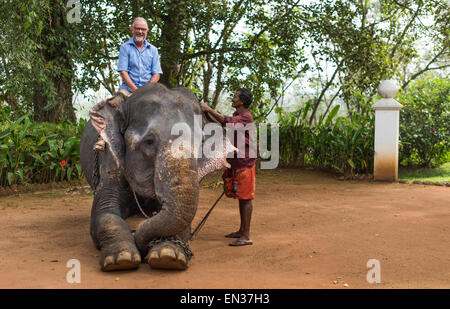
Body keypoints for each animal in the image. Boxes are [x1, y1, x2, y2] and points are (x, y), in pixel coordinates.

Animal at [80, 82, 234, 270]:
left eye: (200, 143)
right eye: (149, 141)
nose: (140, 243)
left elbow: (183, 224)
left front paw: (168, 256)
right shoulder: (110, 157)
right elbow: (105, 211)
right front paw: (121, 259)